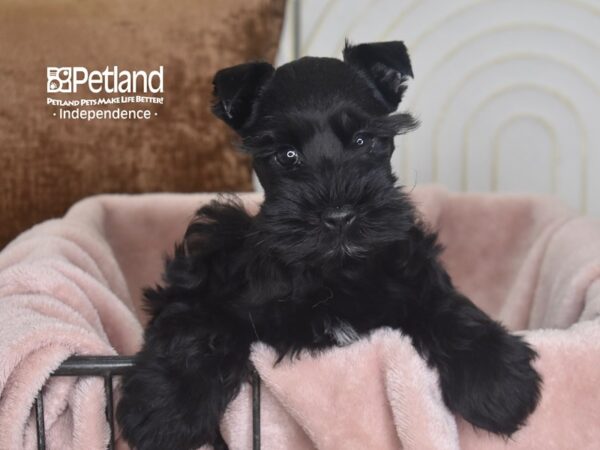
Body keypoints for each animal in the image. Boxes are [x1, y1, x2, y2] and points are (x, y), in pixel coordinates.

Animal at [118, 40, 544, 448]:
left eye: (363, 139)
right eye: (286, 154)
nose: (339, 216)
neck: (335, 271)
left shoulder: (417, 275)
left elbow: (449, 308)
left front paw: (498, 381)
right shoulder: (214, 285)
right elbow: (197, 324)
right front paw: (165, 410)